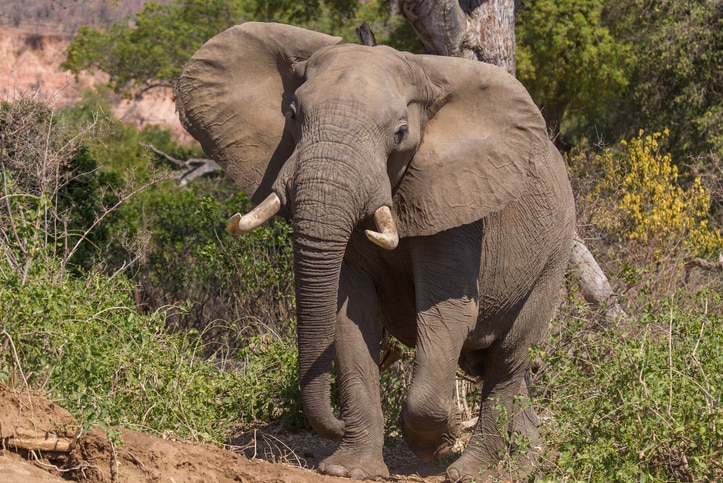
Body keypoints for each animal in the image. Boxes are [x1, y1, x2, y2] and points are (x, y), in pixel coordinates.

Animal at [175, 21, 576, 480]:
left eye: (400, 134)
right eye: (292, 116)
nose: (331, 422)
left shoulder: (458, 205)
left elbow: (448, 312)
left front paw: (435, 444)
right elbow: (349, 311)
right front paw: (350, 470)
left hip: (553, 257)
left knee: (508, 357)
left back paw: (474, 472)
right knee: (497, 363)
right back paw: (526, 464)